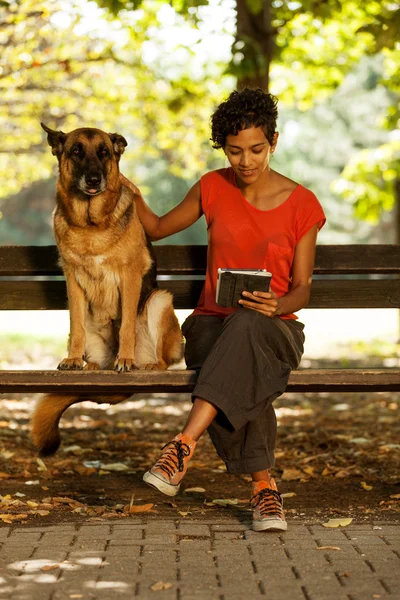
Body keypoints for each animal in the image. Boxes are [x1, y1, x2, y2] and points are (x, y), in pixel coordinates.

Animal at [32, 124, 183, 458]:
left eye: (103, 153)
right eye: (76, 151)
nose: (93, 179)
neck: (91, 224)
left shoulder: (129, 276)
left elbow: (125, 325)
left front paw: (125, 358)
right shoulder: (72, 279)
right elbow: (76, 325)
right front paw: (73, 359)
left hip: (159, 301)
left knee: (164, 360)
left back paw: (145, 364)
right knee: (86, 345)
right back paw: (86, 363)